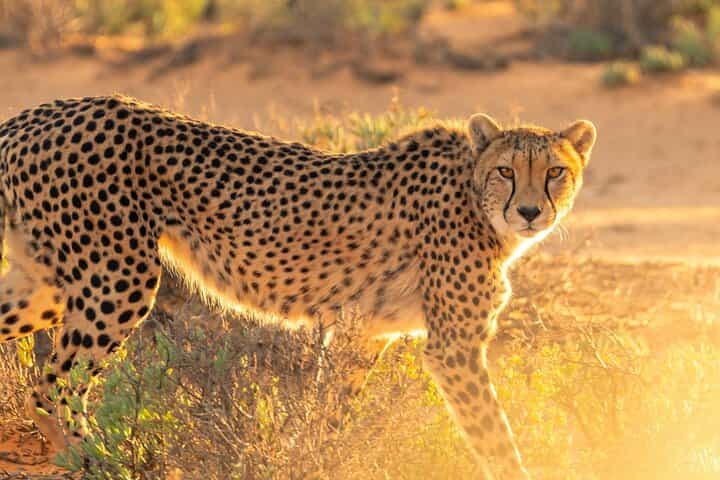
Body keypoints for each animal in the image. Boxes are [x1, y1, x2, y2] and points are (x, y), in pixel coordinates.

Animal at [0, 95, 595, 479]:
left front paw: (310, 459)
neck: (475, 195)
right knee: (54, 383)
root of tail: (36, 114)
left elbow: (330, 415)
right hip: (117, 278)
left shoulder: (363, 334)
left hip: (48, 284)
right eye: (506, 170)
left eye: (555, 172)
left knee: (38, 372)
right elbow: (494, 436)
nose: (529, 212)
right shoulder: (453, 348)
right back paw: (96, 460)